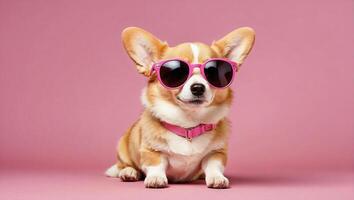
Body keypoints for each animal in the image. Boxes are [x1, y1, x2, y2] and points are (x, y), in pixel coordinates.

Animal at [105, 26, 254, 188]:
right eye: (176, 73)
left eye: (213, 72)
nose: (198, 88)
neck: (188, 125)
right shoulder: (150, 151)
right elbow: (155, 164)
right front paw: (156, 178)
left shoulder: (217, 152)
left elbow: (213, 165)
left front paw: (216, 177)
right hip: (123, 148)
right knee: (124, 165)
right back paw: (129, 172)